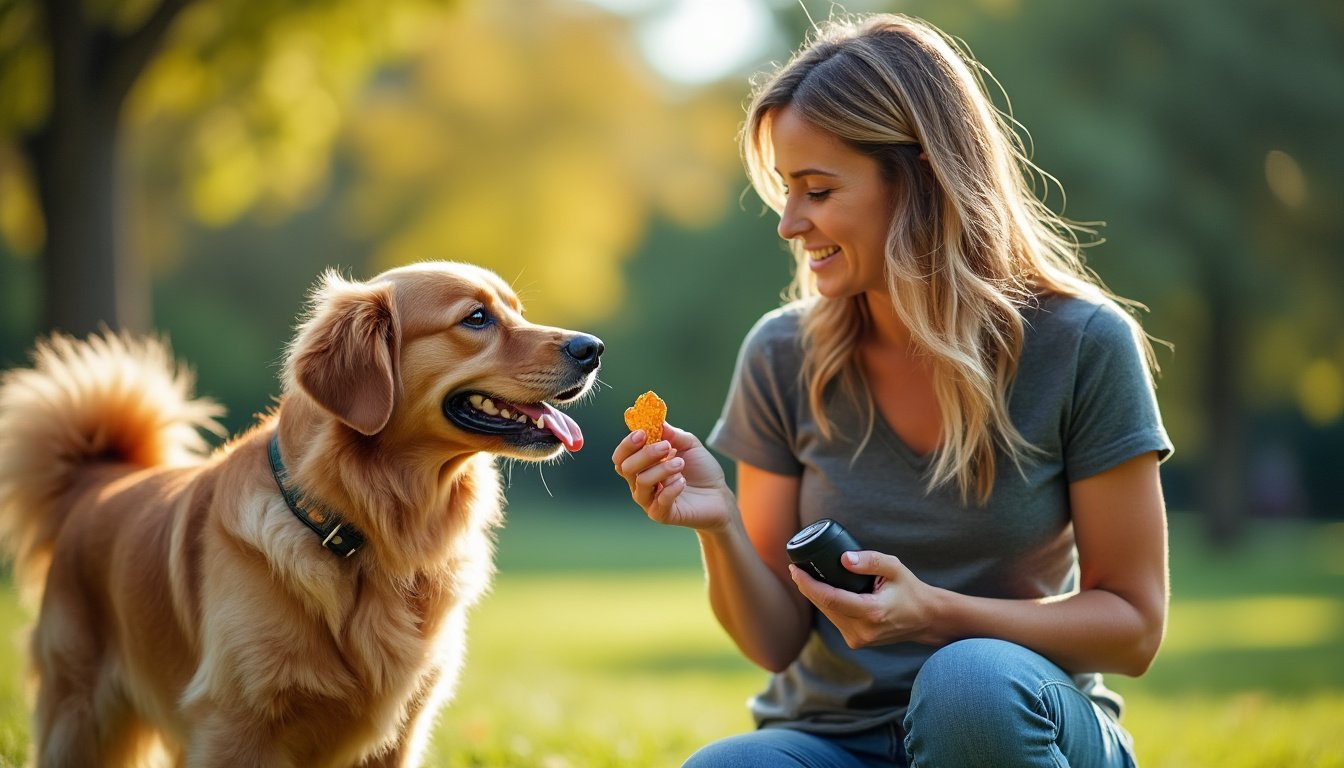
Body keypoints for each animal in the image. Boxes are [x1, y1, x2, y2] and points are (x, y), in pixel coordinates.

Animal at [0, 260, 604, 763]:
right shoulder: (232, 725)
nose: (592, 347)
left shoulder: (398, 735)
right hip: (79, 717)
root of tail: (97, 480)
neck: (371, 531)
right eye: (476, 318)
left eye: (517, 312)